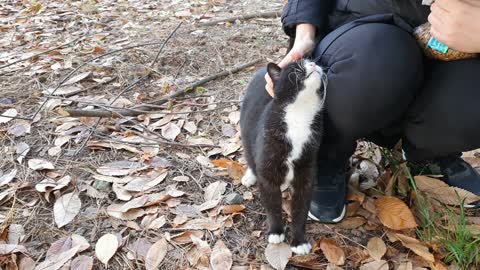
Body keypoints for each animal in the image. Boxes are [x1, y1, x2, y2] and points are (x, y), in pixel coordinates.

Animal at [240, 59, 326, 255]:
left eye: (311, 61)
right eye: (297, 67)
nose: (313, 64)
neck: (299, 113)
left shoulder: (306, 172)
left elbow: (300, 210)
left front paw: (299, 241)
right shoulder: (268, 171)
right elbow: (272, 205)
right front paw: (276, 232)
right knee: (250, 155)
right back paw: (250, 176)